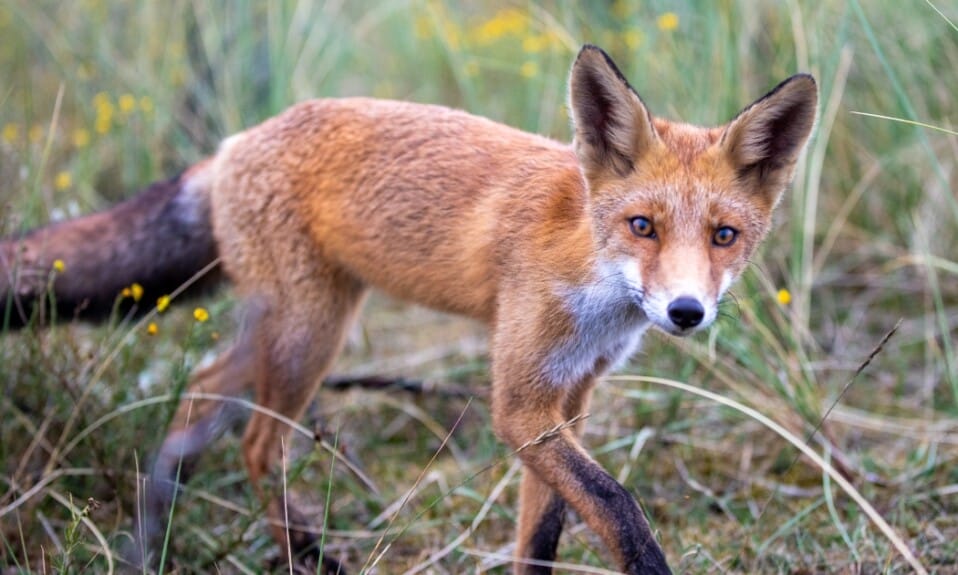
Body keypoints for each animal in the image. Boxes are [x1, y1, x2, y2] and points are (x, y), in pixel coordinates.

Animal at [0, 46, 816, 575]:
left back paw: (155, 535)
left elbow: (544, 533)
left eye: (724, 236)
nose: (685, 311)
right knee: (259, 443)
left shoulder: (568, 400)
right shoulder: (521, 404)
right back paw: (303, 556)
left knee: (200, 389)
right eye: (642, 225)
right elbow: (617, 505)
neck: (587, 271)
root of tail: (231, 145)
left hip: (284, 329)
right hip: (309, 334)